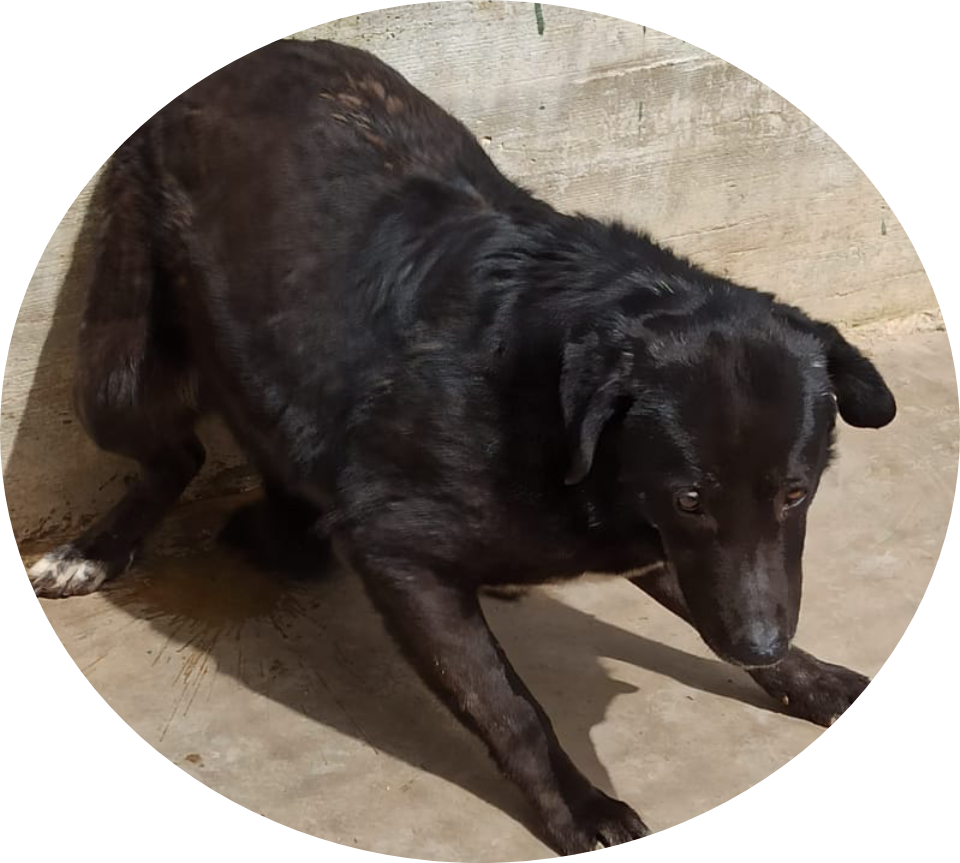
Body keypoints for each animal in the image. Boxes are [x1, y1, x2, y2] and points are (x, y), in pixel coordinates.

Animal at [28, 39, 896, 854]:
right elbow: (510, 705)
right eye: (691, 497)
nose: (757, 642)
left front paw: (808, 677)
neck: (552, 402)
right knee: (177, 455)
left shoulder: (665, 543)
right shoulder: (401, 551)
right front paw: (579, 804)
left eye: (796, 492)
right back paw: (93, 551)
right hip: (118, 374)